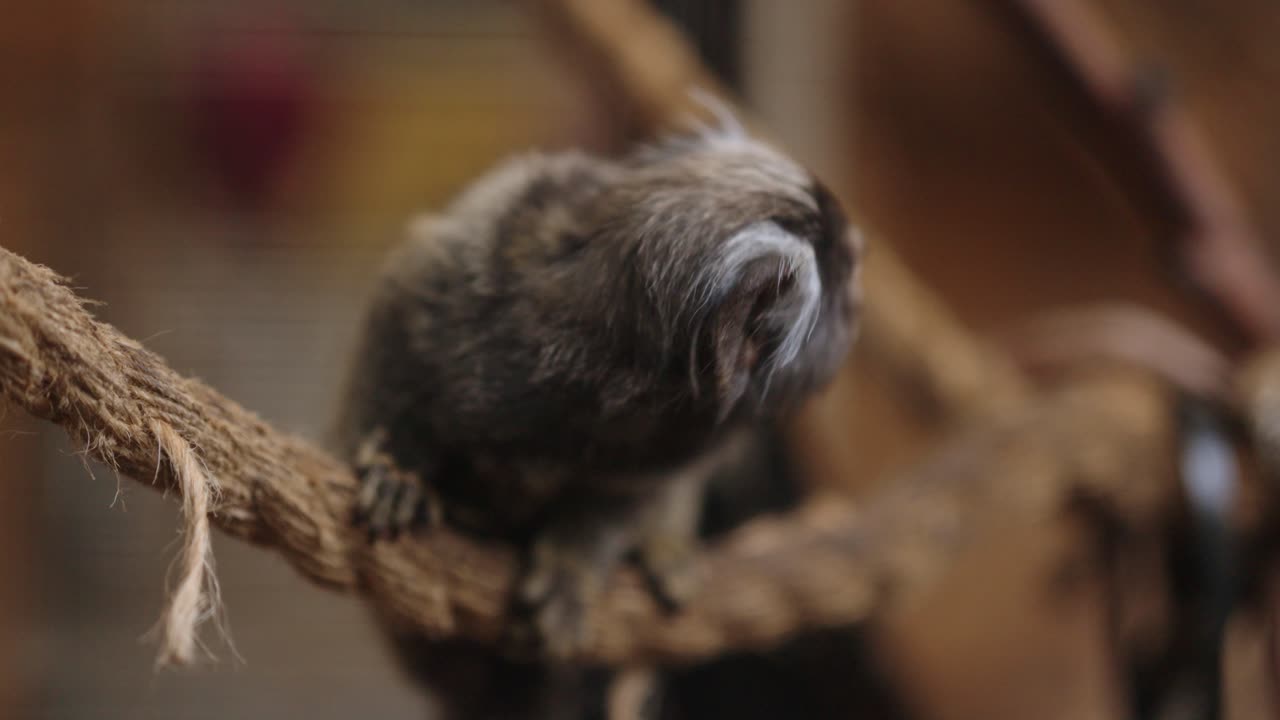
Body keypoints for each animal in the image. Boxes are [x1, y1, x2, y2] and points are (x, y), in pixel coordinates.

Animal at [332, 111, 861, 719]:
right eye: (843, 273)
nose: (858, 296)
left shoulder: (659, 455)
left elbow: (619, 503)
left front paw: (572, 566)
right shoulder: (463, 269)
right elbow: (399, 324)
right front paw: (399, 468)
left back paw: (663, 550)